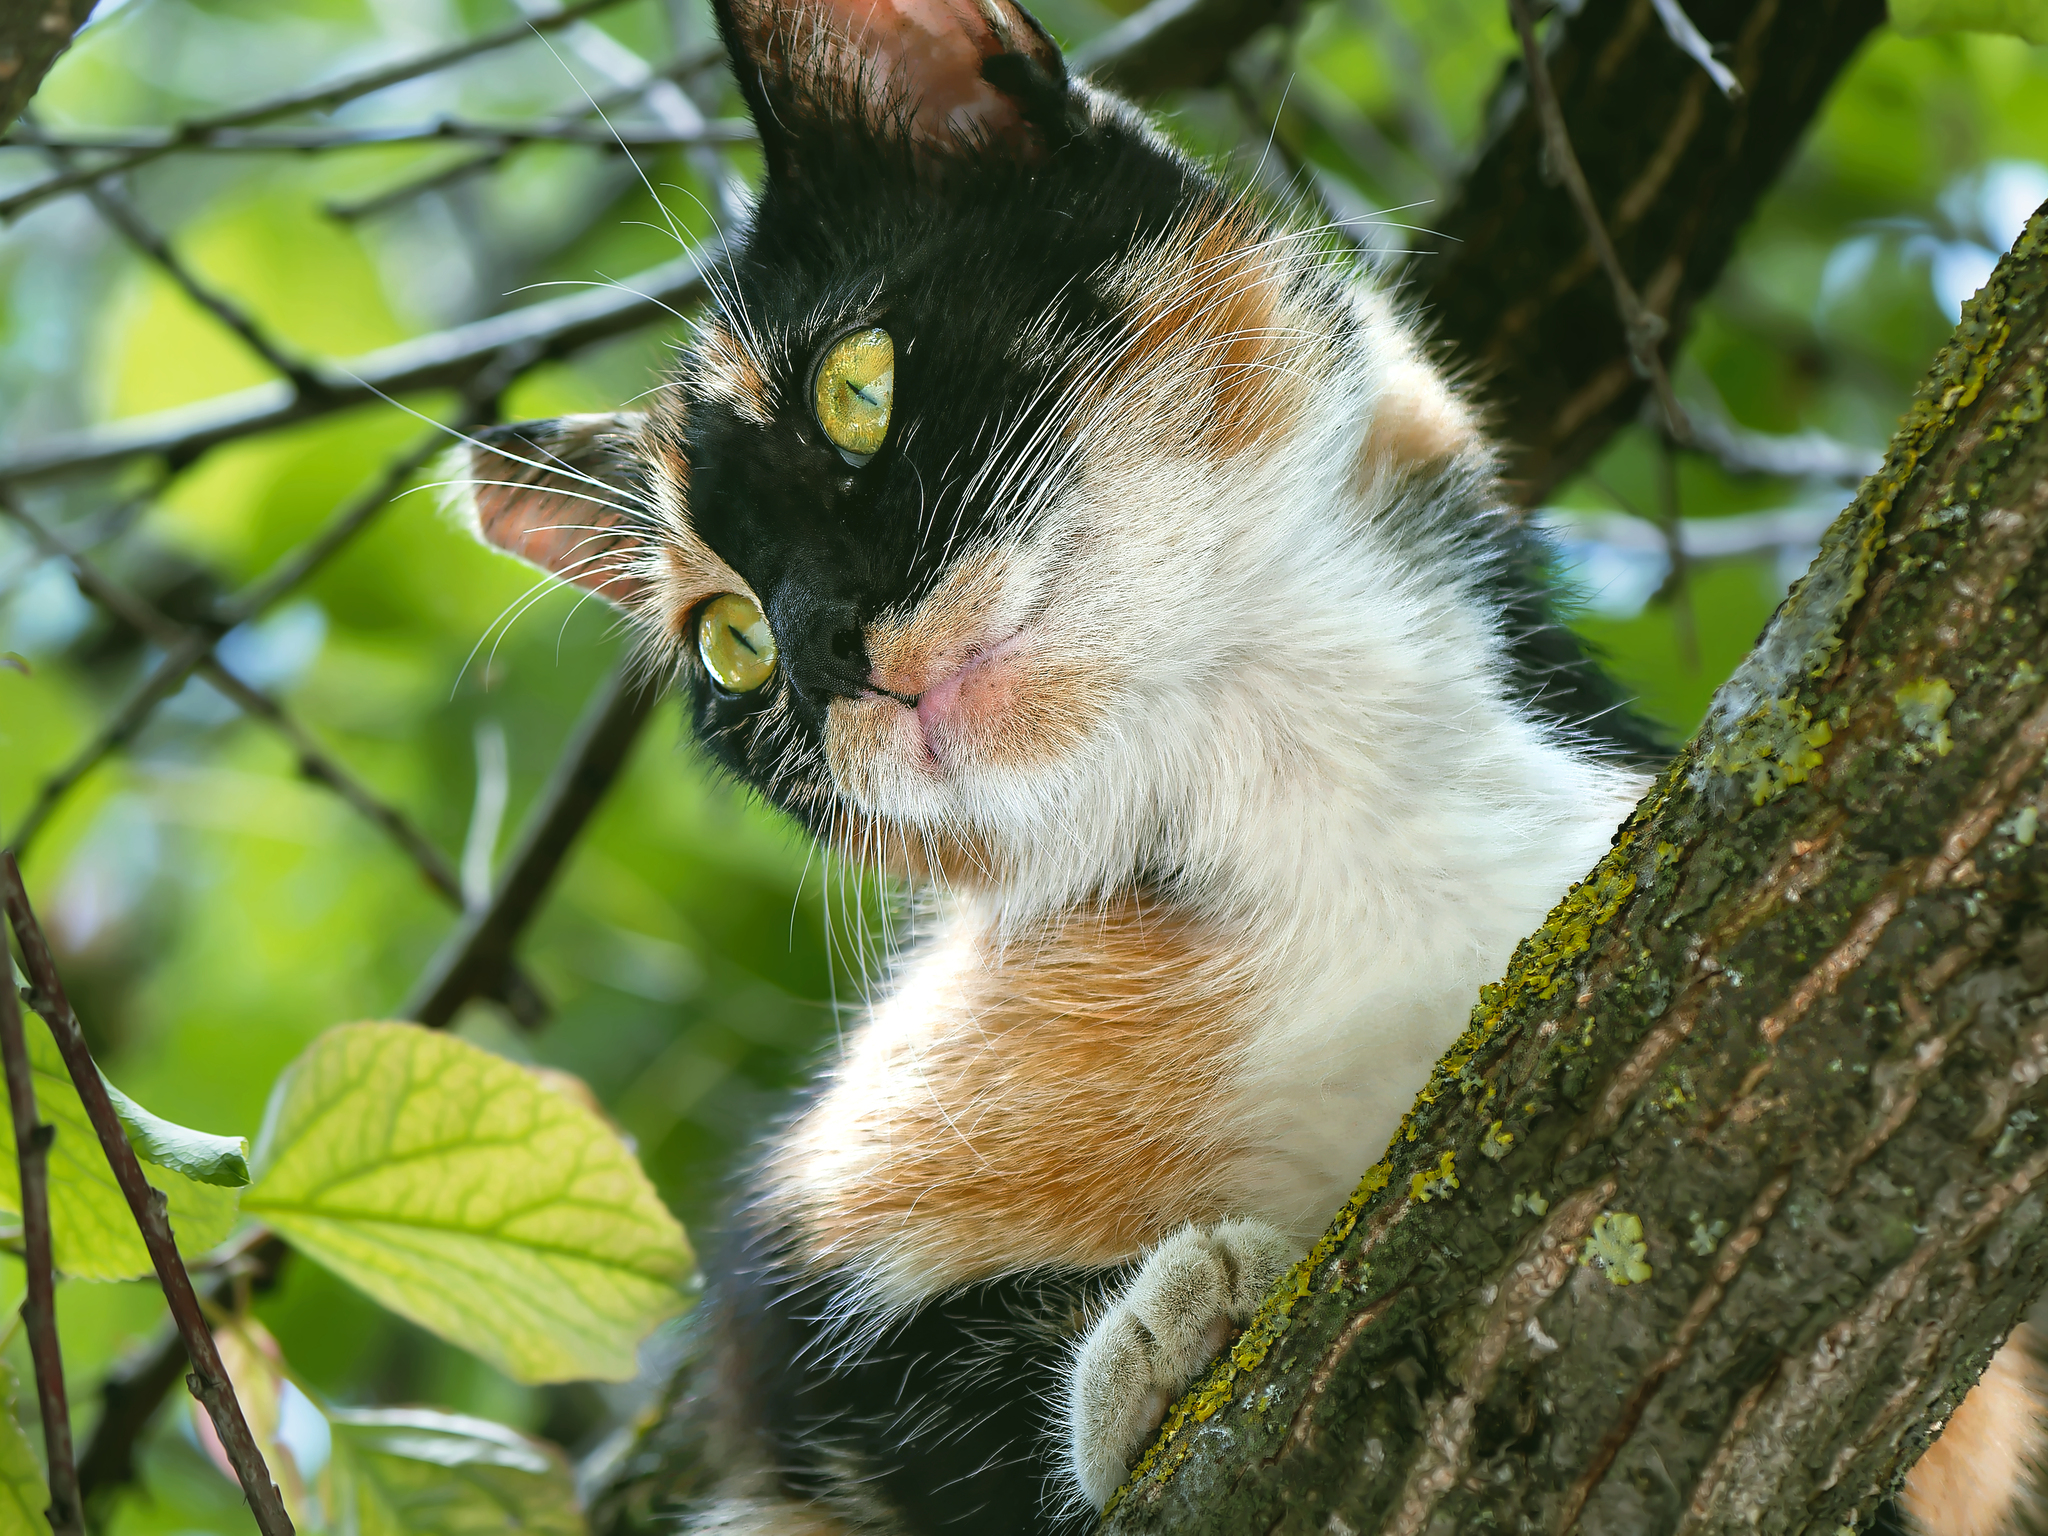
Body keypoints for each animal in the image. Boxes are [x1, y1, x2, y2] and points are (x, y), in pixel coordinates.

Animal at [456, 0, 2039, 1531]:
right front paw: (1166, 1340)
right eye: (729, 643)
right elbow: (881, 1404)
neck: (1311, 786)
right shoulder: (796, 1276)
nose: (823, 646)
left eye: (859, 386)